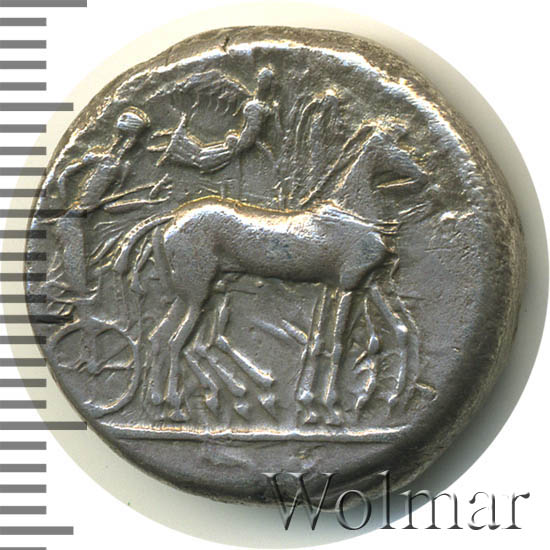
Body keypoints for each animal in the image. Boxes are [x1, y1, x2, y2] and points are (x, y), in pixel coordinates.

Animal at [113, 196, 415, 424]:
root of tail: (172, 218)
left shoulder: (361, 285)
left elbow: (396, 331)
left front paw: (389, 400)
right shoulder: (348, 287)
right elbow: (336, 344)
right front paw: (328, 406)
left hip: (189, 297)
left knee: (160, 337)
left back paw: (162, 406)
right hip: (196, 297)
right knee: (177, 343)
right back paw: (179, 405)